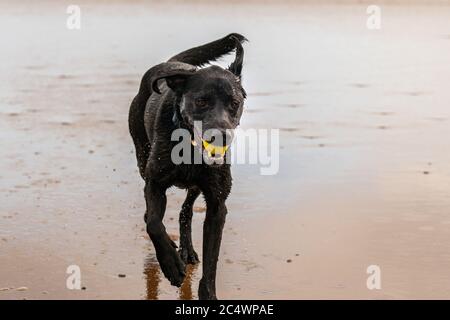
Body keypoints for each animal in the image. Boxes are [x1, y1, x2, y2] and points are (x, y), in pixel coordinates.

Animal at [128, 33, 248, 298]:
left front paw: (208, 294)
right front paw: (171, 266)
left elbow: (211, 262)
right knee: (151, 212)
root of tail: (171, 63)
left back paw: (187, 249)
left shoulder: (217, 204)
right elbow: (154, 224)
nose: (221, 136)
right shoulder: (155, 183)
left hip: (196, 185)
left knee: (186, 210)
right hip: (142, 157)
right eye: (201, 101)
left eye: (234, 103)